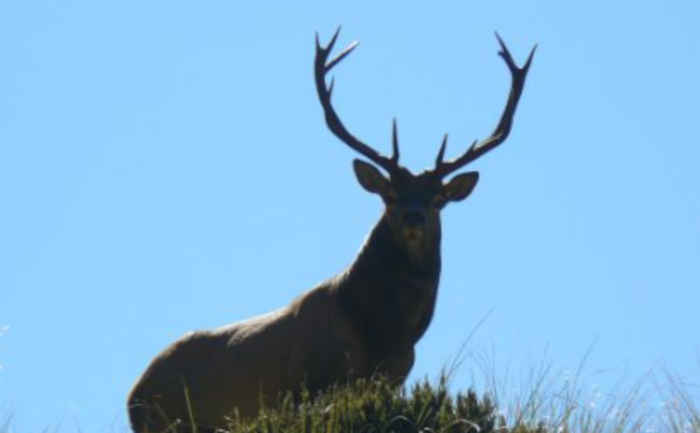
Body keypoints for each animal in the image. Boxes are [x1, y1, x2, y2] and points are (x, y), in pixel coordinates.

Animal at [127, 28, 535, 433]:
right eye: (390, 194)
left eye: (438, 198)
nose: (414, 217)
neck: (383, 332)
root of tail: (135, 394)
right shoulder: (309, 383)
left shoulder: (396, 377)